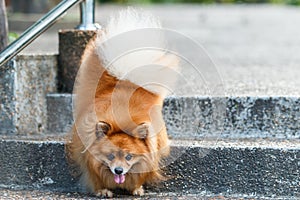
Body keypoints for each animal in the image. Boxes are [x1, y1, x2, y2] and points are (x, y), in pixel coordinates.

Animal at [67, 7, 179, 197]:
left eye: (129, 157)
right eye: (111, 156)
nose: (118, 170)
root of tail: (122, 75)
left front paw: (136, 188)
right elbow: (94, 176)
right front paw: (102, 190)